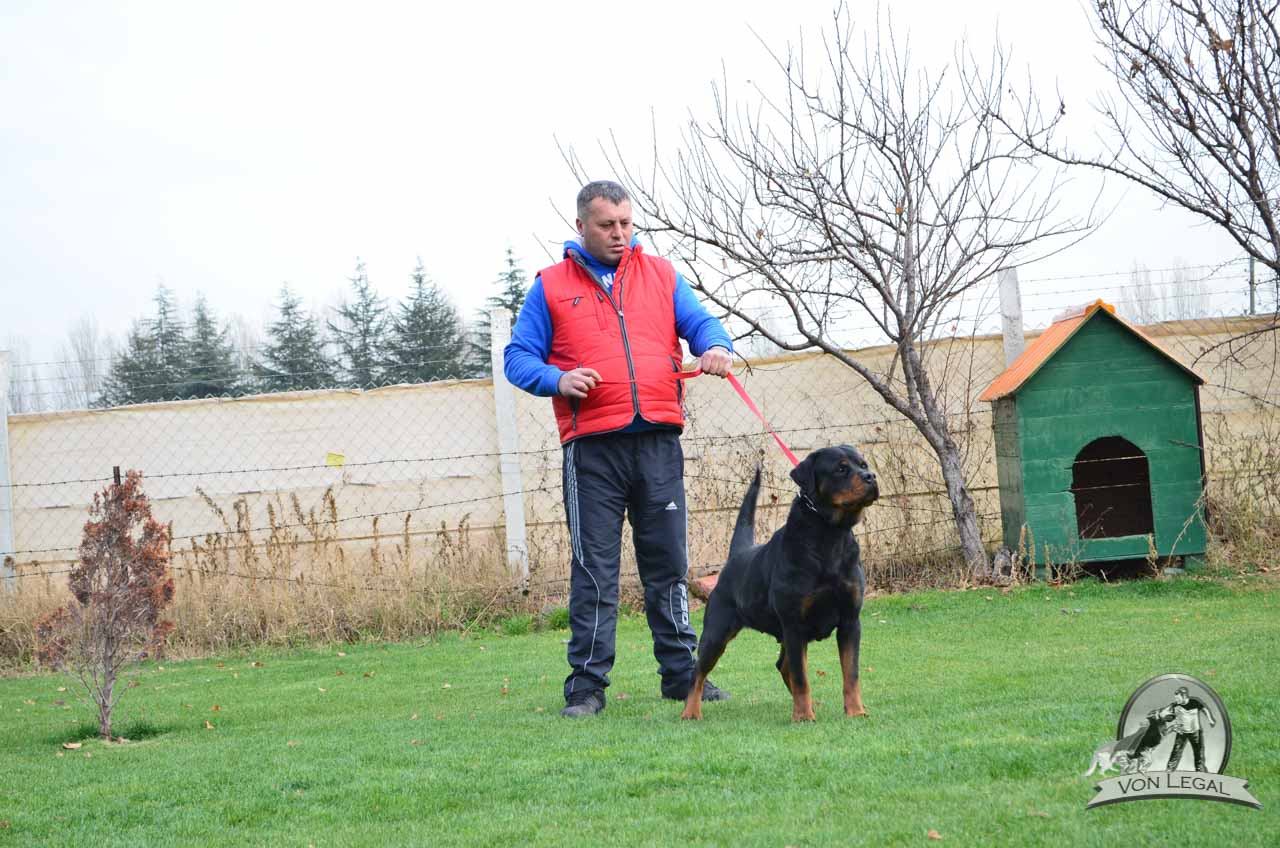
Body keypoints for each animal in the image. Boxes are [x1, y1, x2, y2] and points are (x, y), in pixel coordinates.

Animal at [682, 445, 879, 722]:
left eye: (863, 464)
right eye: (841, 468)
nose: (870, 477)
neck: (829, 535)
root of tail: (737, 555)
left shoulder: (850, 621)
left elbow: (851, 673)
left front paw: (855, 711)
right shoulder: (794, 623)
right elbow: (802, 677)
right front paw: (804, 717)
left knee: (783, 665)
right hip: (717, 631)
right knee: (698, 671)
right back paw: (690, 711)